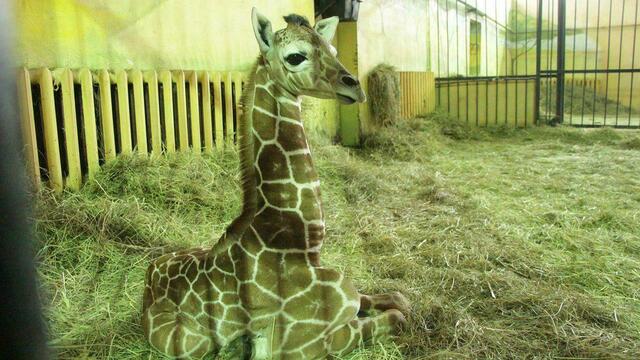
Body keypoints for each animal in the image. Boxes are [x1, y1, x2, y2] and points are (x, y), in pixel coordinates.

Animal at [142, 9, 408, 360]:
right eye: (295, 57)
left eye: (333, 50)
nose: (355, 88)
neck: (300, 244)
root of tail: (148, 275)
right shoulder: (315, 343)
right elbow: (396, 317)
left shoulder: (351, 297)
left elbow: (392, 298)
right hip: (190, 343)